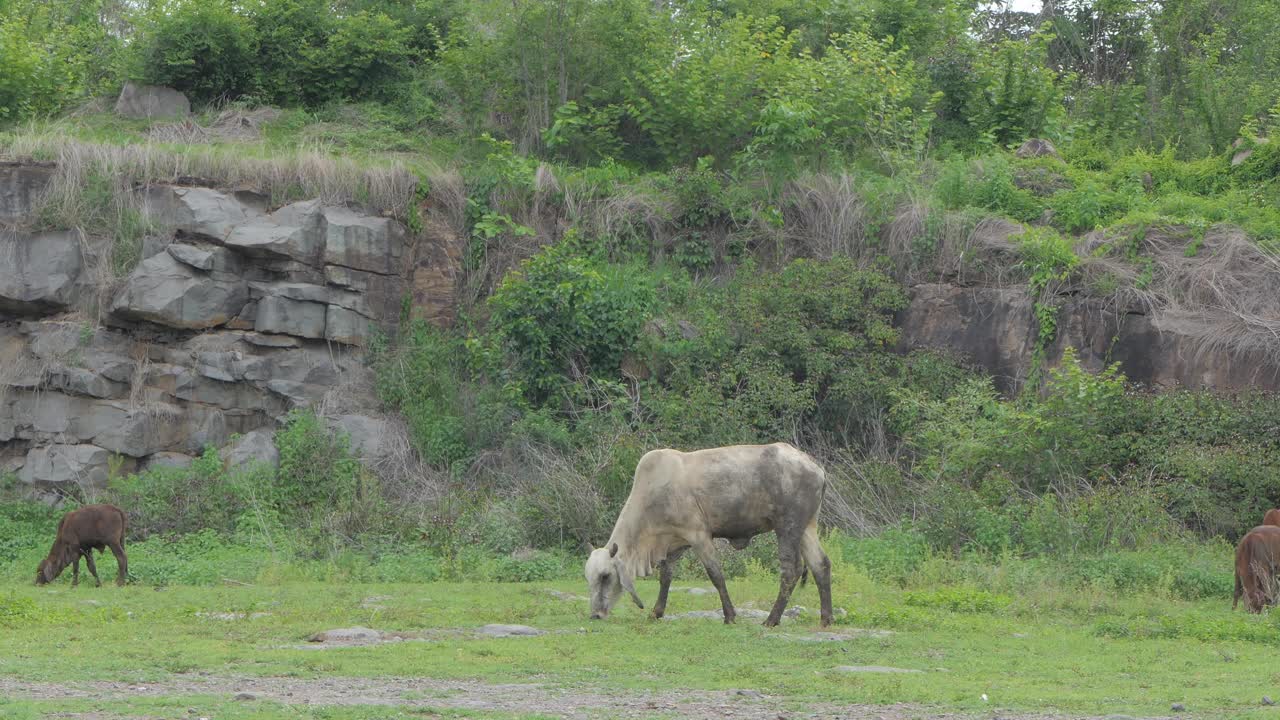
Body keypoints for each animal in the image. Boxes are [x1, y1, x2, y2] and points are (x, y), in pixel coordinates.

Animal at [586, 440, 834, 625]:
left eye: (606, 576)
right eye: (588, 578)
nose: (595, 615)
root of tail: (815, 466)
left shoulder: (698, 535)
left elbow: (716, 575)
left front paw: (730, 616)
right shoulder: (673, 544)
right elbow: (666, 577)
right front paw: (656, 612)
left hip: (787, 527)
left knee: (791, 570)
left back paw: (772, 620)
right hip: (807, 528)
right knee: (820, 564)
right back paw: (826, 618)